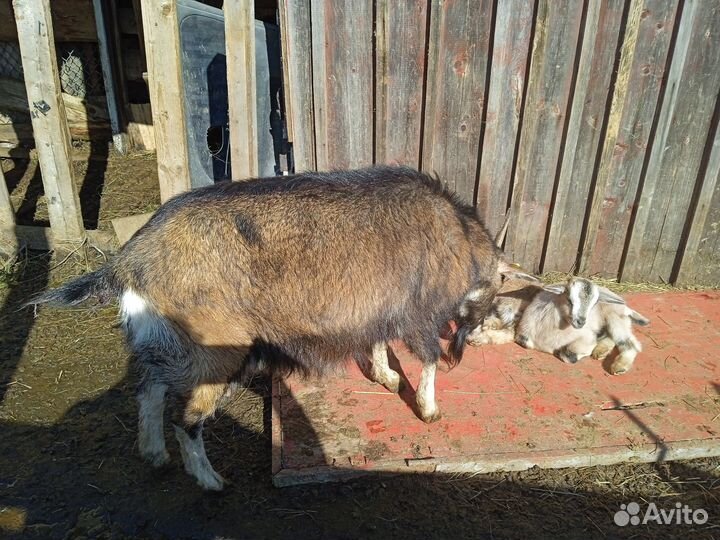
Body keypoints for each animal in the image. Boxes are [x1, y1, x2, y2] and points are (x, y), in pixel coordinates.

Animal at [26, 165, 526, 491]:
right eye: (501, 284)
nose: (474, 335)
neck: (459, 234)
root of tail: (131, 260)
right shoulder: (420, 315)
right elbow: (427, 361)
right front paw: (428, 409)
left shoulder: (382, 307)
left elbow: (379, 341)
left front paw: (385, 376)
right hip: (215, 351)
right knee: (186, 419)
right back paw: (210, 480)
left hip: (167, 342)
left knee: (149, 389)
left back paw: (154, 456)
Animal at [467, 276, 650, 375]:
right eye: (569, 298)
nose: (580, 321)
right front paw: (476, 337)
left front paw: (476, 338)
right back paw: (600, 352)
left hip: (615, 319)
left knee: (631, 343)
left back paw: (618, 366)